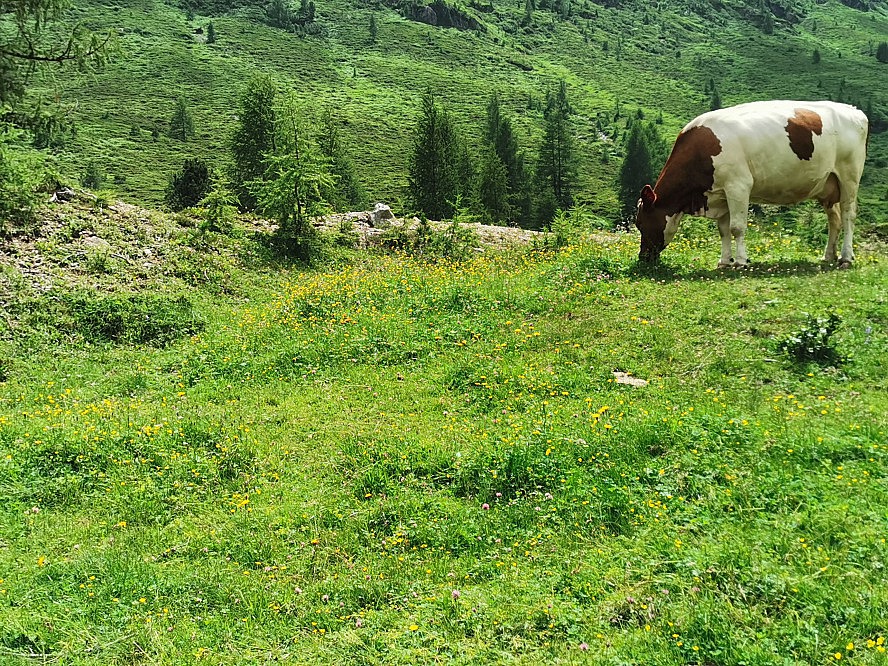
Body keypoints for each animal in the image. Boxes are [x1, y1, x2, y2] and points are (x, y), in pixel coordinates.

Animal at [636, 100, 872, 266]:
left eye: (640, 223)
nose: (642, 257)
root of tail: (855, 111)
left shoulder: (738, 185)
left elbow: (737, 227)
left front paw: (740, 261)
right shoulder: (721, 193)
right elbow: (723, 230)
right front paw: (724, 261)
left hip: (849, 176)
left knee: (849, 216)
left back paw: (846, 257)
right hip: (828, 185)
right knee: (835, 220)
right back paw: (828, 256)